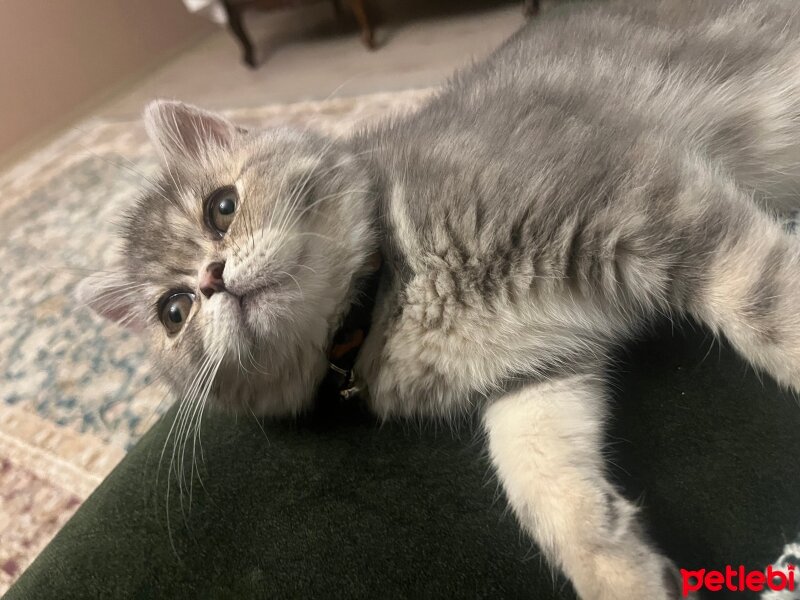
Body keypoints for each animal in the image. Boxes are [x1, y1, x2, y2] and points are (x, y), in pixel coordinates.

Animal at [81, 1, 800, 600]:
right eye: (174, 311)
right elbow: (546, 487)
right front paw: (622, 573)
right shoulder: (533, 378)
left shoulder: (644, 195)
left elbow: (768, 304)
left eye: (222, 207)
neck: (390, 296)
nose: (210, 279)